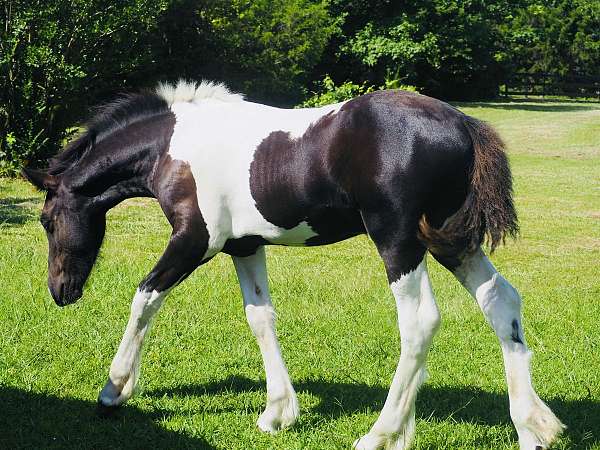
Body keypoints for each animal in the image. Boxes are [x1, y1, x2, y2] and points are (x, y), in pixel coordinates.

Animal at [23, 81, 564, 450]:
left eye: (47, 220)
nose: (61, 291)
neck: (175, 147)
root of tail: (463, 125)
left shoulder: (196, 241)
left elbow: (144, 297)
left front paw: (113, 391)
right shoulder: (244, 246)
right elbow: (260, 318)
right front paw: (277, 413)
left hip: (398, 240)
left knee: (420, 322)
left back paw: (380, 434)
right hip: (450, 240)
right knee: (501, 302)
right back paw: (532, 429)